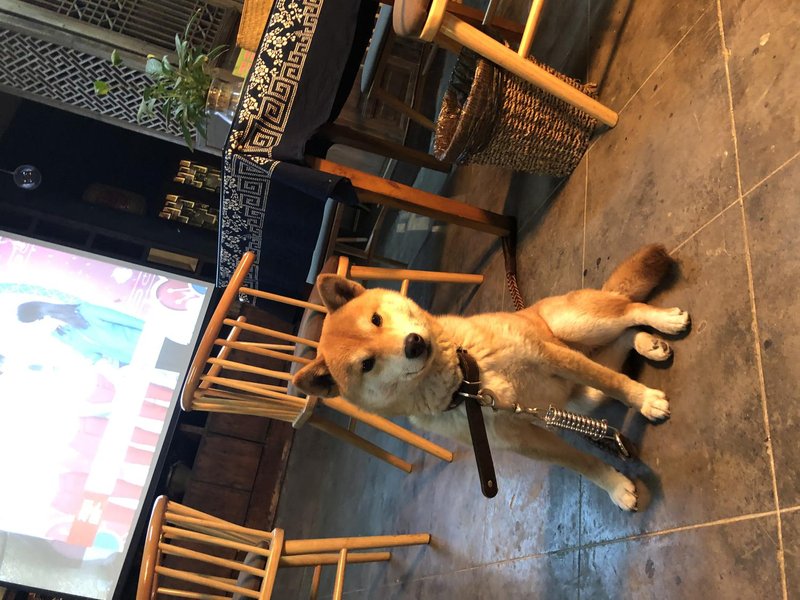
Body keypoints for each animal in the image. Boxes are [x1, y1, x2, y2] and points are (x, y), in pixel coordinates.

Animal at [293, 244, 690, 510]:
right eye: (367, 364)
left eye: (376, 319)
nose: (413, 343)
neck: (467, 383)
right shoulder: (522, 438)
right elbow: (581, 462)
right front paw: (615, 486)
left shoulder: (549, 356)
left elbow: (618, 384)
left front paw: (645, 400)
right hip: (580, 397)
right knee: (620, 342)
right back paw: (650, 344)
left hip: (574, 328)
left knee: (628, 312)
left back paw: (664, 321)